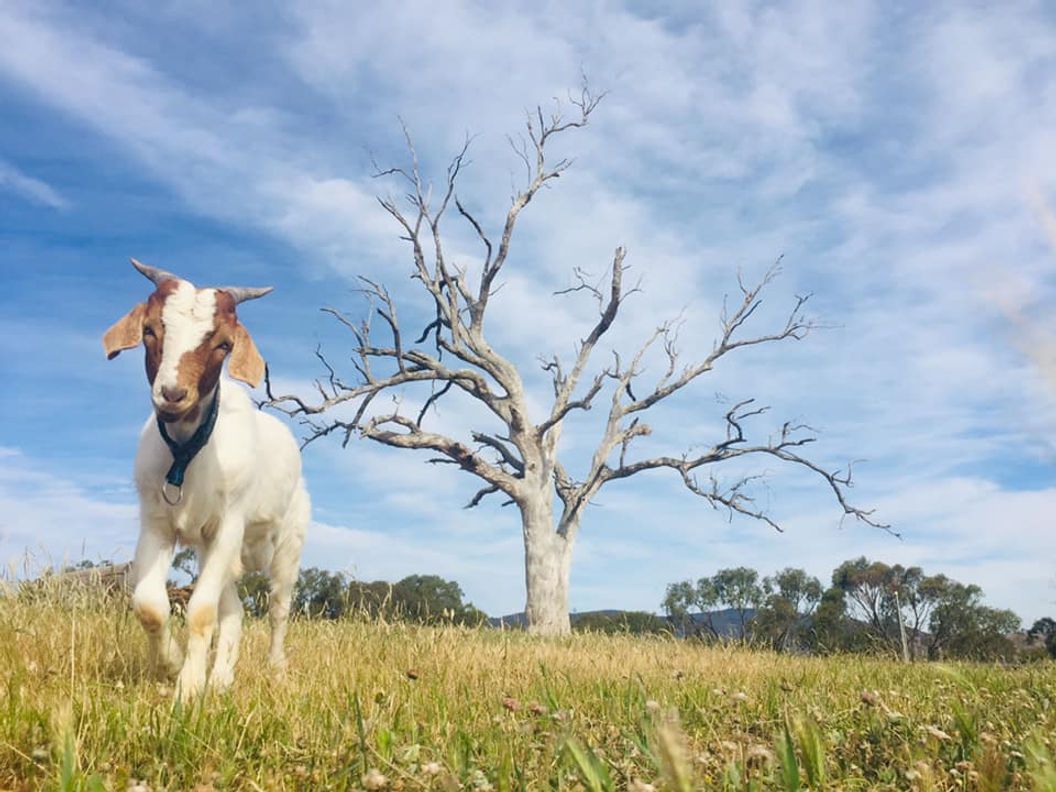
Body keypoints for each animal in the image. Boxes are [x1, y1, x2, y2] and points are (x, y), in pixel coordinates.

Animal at [103, 258, 310, 700]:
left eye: (223, 344)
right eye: (151, 330)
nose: (172, 394)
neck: (187, 454)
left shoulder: (228, 525)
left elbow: (200, 612)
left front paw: (189, 688)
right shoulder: (157, 524)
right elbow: (150, 604)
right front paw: (171, 665)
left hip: (287, 544)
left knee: (278, 608)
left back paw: (275, 668)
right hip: (212, 549)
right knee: (233, 611)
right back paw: (222, 679)